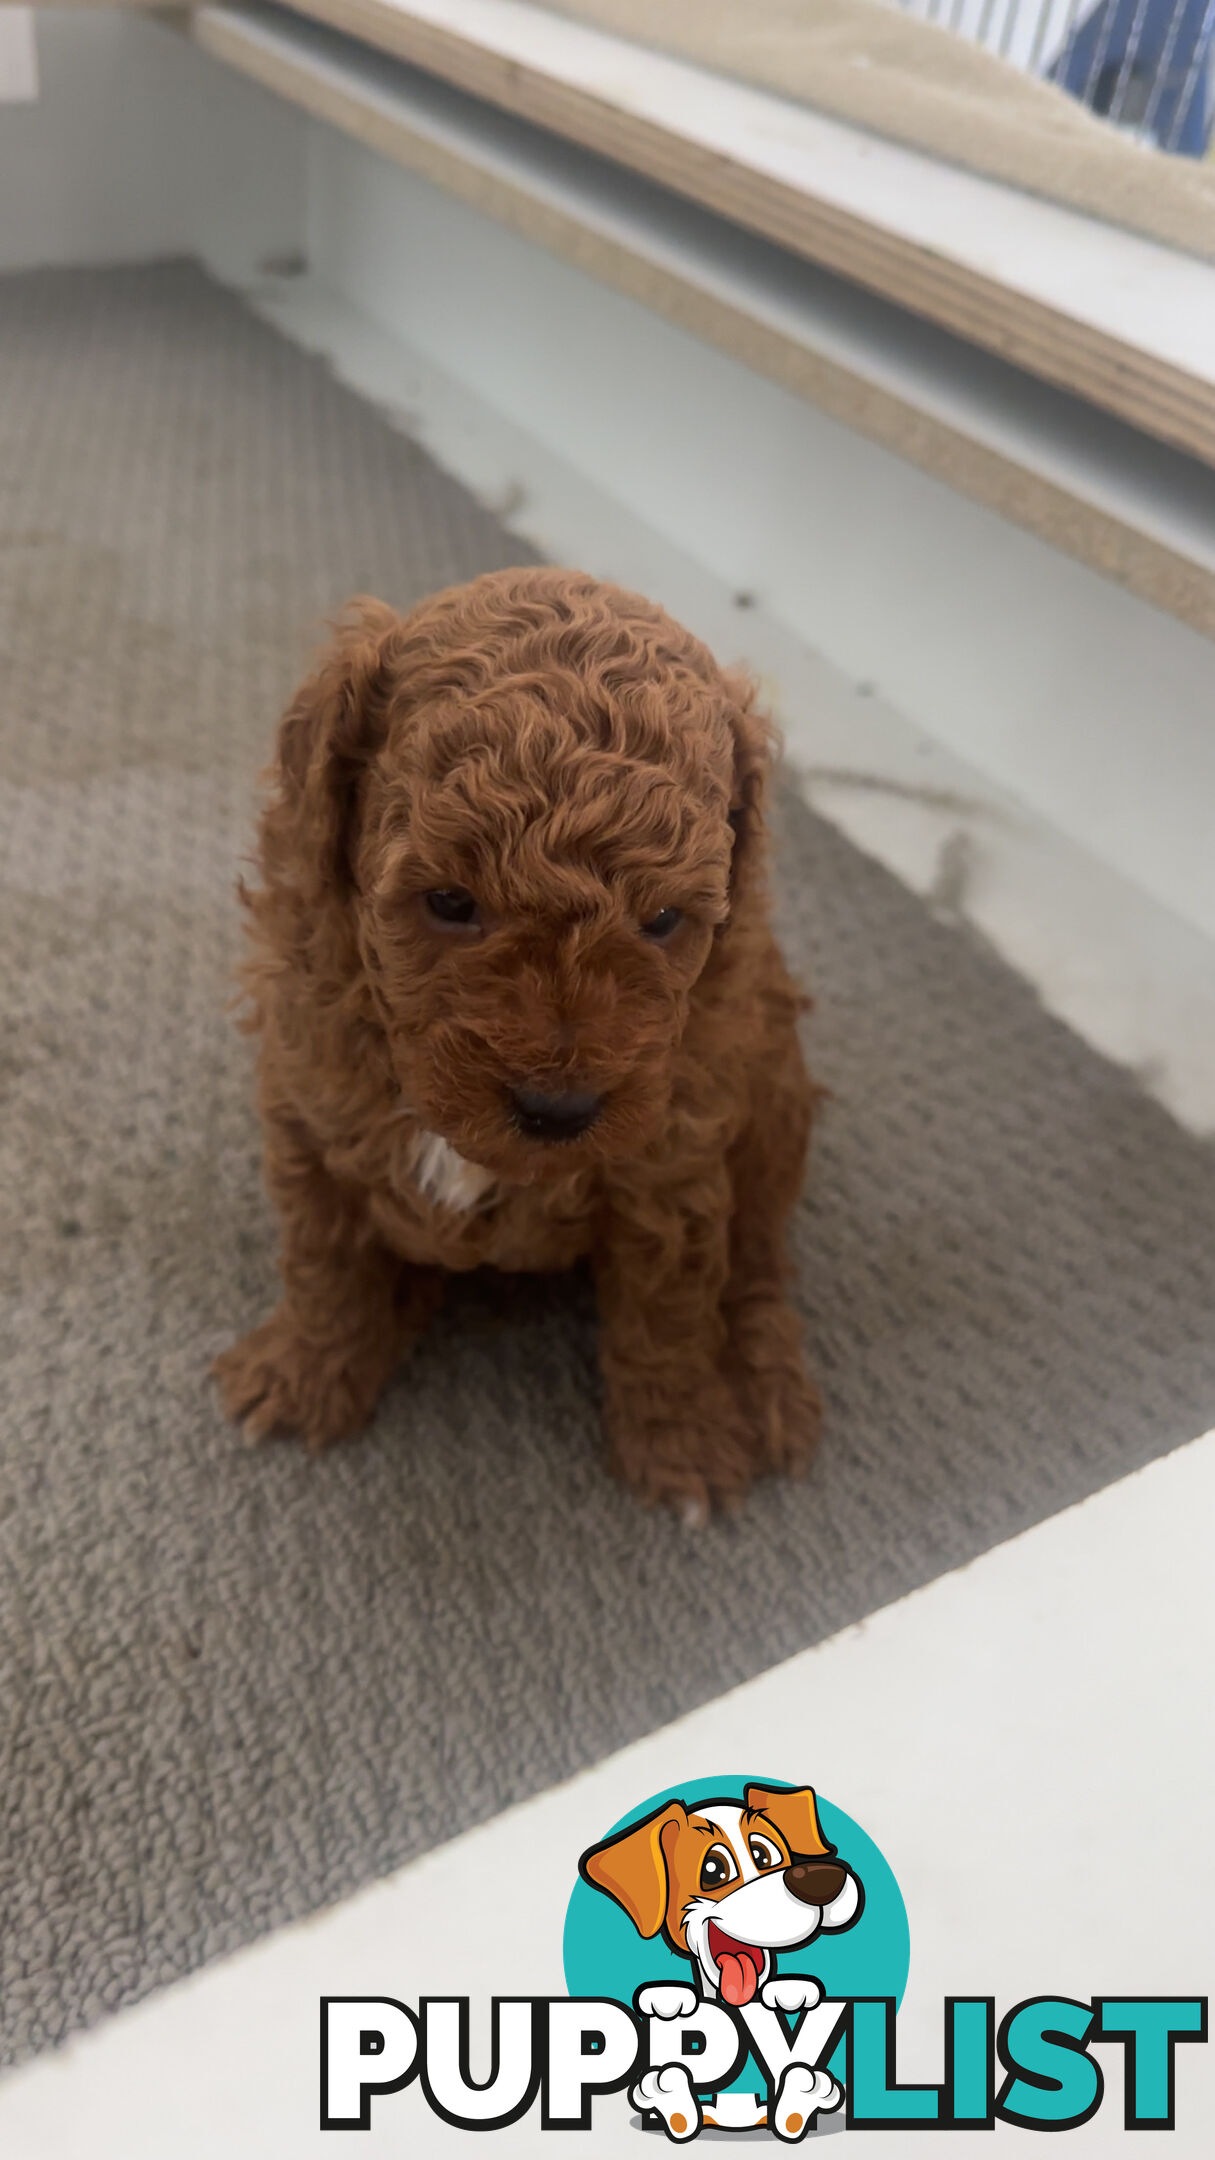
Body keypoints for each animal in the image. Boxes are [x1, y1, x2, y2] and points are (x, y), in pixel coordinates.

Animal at [212, 574, 817, 1520]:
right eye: (449, 902)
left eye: (663, 920)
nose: (557, 1110)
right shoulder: (309, 1115)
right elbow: (323, 1269)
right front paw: (306, 1375)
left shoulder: (672, 1166)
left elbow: (669, 1317)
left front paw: (681, 1441)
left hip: (775, 1096)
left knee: (757, 1259)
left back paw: (762, 1382)